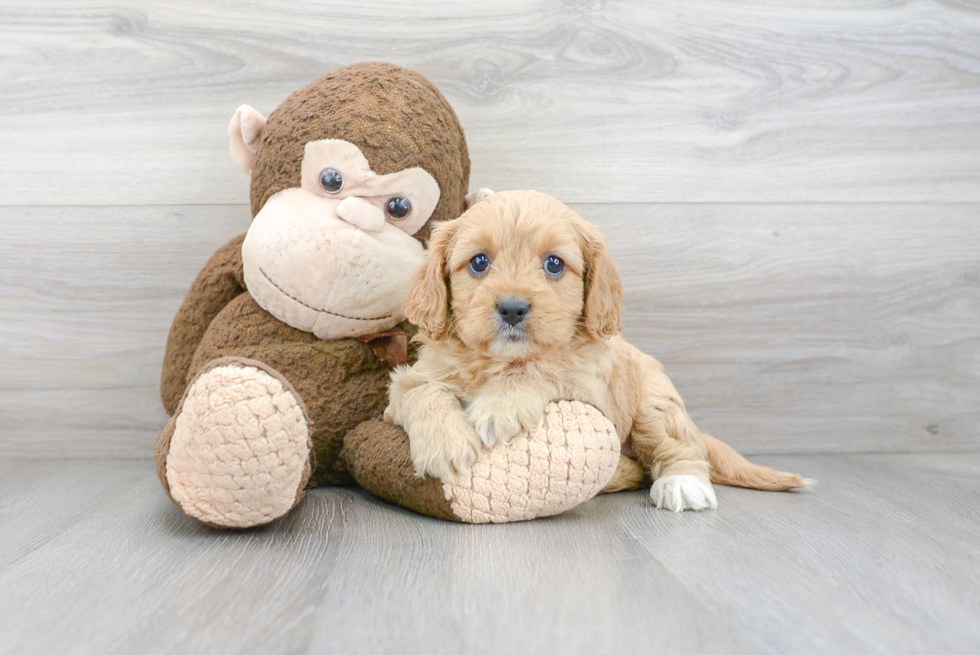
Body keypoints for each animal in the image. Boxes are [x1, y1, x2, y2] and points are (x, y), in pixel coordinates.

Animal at [386, 190, 808, 512]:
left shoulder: (589, 390)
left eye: (554, 264)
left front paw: (498, 407)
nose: (512, 308)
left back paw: (683, 483)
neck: (499, 361)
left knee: (677, 446)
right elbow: (423, 393)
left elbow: (544, 368)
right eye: (478, 262)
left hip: (654, 403)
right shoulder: (406, 382)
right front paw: (446, 444)